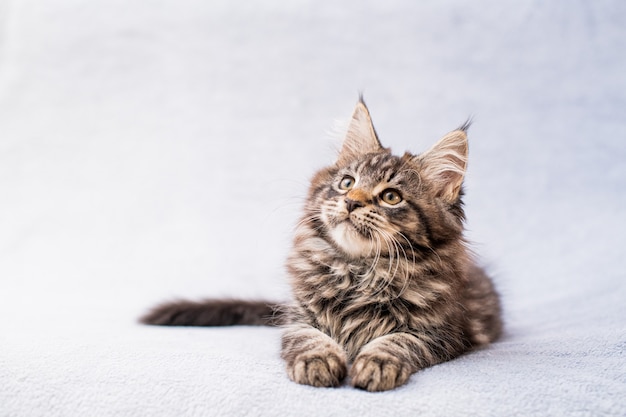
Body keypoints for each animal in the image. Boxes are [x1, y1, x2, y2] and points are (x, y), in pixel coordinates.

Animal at [139, 99, 500, 392]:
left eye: (391, 197)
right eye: (347, 183)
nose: (352, 202)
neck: (358, 271)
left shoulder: (442, 332)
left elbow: (398, 341)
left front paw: (377, 363)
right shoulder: (298, 317)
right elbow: (308, 338)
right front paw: (318, 360)